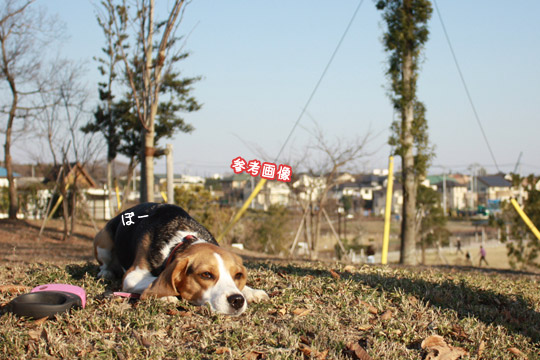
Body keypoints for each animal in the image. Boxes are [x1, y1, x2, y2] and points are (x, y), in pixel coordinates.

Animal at [95, 202, 270, 316]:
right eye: (206, 275)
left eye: (238, 275)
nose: (237, 300)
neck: (182, 240)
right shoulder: (132, 276)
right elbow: (155, 281)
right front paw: (165, 295)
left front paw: (252, 292)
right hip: (103, 241)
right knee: (105, 264)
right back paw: (106, 273)